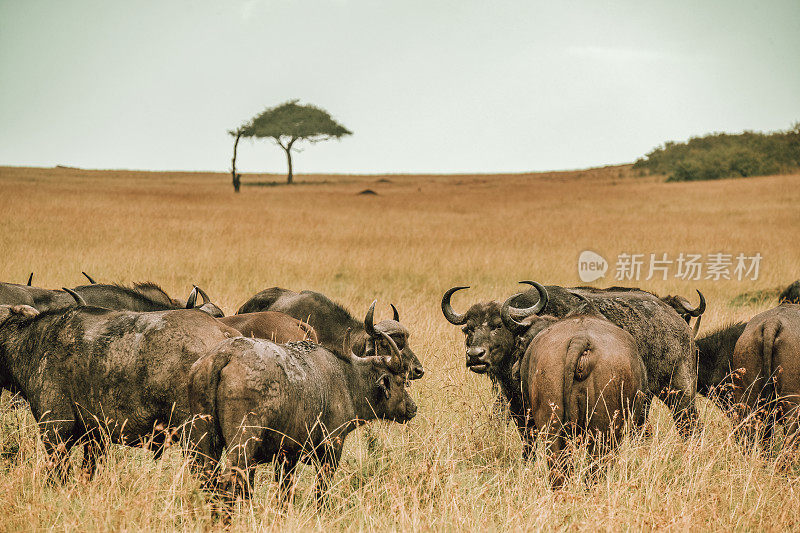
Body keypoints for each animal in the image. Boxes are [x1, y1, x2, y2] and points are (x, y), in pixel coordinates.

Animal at [184, 330, 416, 500]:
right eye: (401, 381)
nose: (412, 407)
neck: (346, 379)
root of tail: (223, 355)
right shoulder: (330, 452)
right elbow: (321, 493)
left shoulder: (286, 458)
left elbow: (284, 494)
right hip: (242, 444)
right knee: (228, 483)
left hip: (204, 444)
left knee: (208, 480)